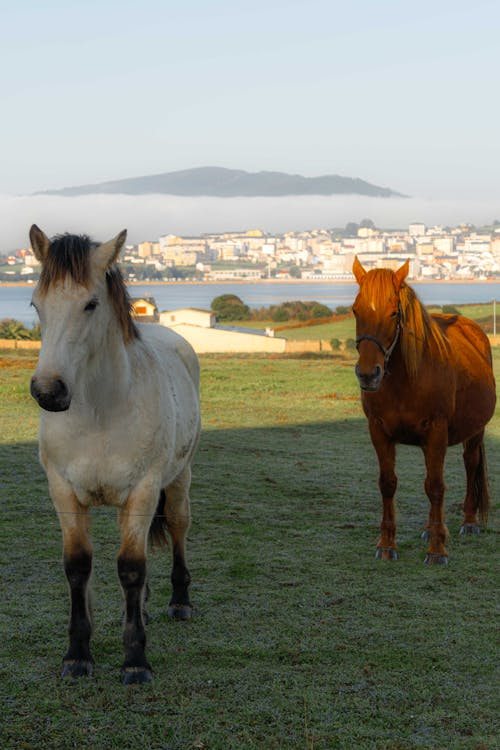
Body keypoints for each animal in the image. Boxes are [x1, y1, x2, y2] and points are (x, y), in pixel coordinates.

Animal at [29, 225, 200, 688]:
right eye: (36, 304)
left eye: (90, 303)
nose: (48, 391)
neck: (101, 410)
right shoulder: (64, 493)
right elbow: (78, 566)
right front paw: (77, 655)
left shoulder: (143, 491)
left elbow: (131, 568)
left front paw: (135, 660)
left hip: (177, 480)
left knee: (177, 527)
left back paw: (179, 602)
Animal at [352, 258, 496, 564]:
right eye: (356, 310)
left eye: (394, 313)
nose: (368, 374)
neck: (405, 380)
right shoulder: (379, 431)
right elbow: (388, 484)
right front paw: (387, 545)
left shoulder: (436, 432)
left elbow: (436, 487)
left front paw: (437, 549)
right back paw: (430, 529)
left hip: (474, 432)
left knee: (470, 465)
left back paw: (468, 522)